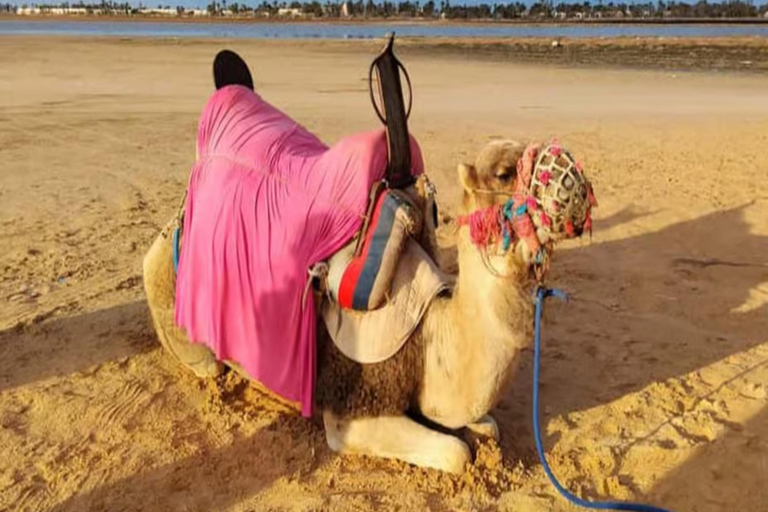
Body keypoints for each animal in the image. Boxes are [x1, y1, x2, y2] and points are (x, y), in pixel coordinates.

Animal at [142, 52, 595, 475]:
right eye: (503, 172)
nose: (575, 183)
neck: (430, 334)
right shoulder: (353, 406)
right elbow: (457, 453)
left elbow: (486, 425)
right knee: (202, 358)